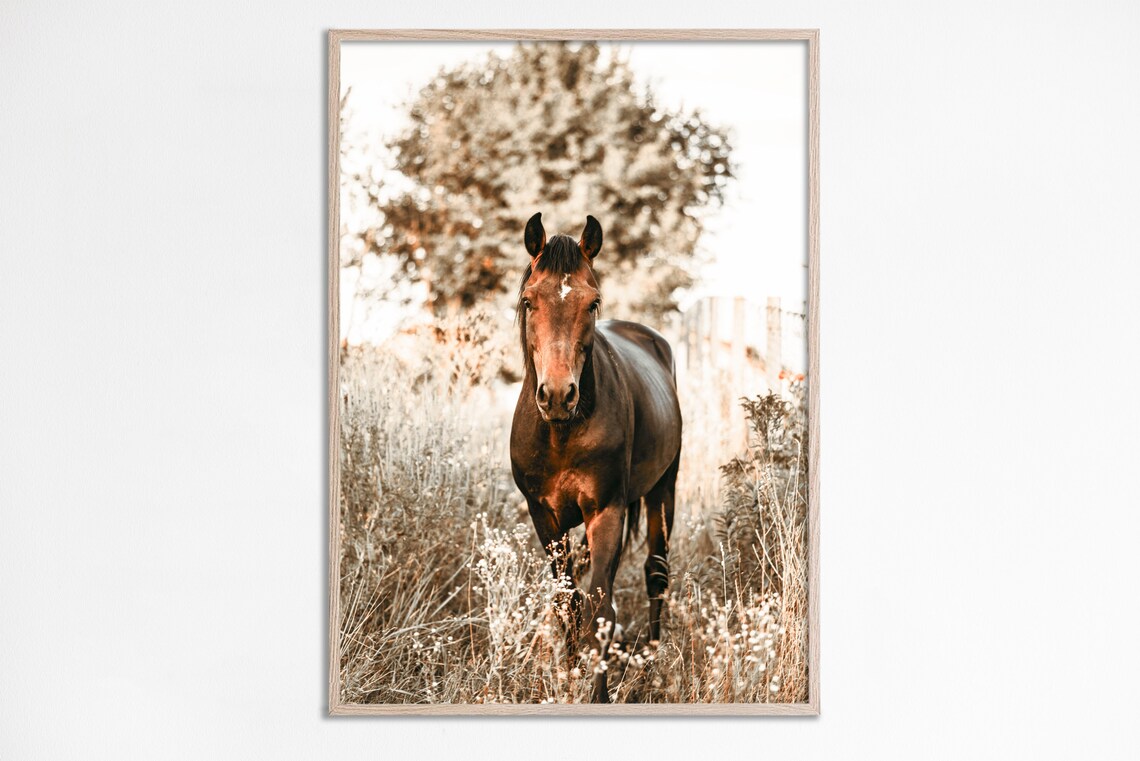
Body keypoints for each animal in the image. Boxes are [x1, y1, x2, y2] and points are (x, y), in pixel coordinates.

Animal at [509, 213, 683, 703]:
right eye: (529, 300)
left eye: (593, 303)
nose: (557, 395)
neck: (561, 432)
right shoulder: (544, 517)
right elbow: (567, 601)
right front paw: (568, 675)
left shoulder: (607, 511)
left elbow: (601, 608)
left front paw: (598, 693)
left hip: (664, 489)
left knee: (656, 574)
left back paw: (652, 667)